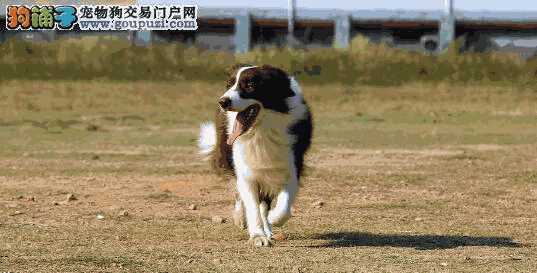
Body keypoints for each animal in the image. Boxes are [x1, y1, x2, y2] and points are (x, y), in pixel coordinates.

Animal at [199, 65, 312, 245]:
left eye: (250, 85)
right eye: (229, 84)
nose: (222, 102)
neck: (260, 130)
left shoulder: (292, 164)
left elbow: (284, 203)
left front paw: (273, 219)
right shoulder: (245, 170)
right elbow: (251, 204)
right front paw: (258, 236)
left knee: (264, 204)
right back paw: (240, 218)